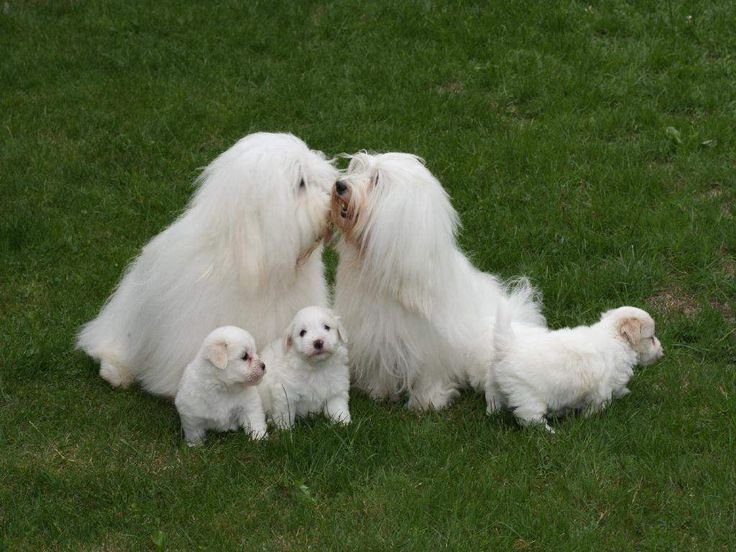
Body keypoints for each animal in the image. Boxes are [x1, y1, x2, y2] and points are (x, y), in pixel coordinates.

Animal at [330, 153, 544, 412]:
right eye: (357, 169)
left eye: (377, 180)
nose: (340, 185)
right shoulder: (376, 334)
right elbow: (381, 365)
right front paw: (379, 393)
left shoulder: (431, 343)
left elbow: (429, 373)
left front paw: (427, 402)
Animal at [486, 306, 664, 432]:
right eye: (651, 338)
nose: (662, 353)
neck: (614, 337)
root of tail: (508, 348)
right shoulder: (601, 389)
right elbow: (598, 404)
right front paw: (588, 417)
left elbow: (618, 389)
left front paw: (624, 393)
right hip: (528, 396)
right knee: (529, 418)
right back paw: (550, 431)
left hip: (495, 385)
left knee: (493, 402)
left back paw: (492, 414)